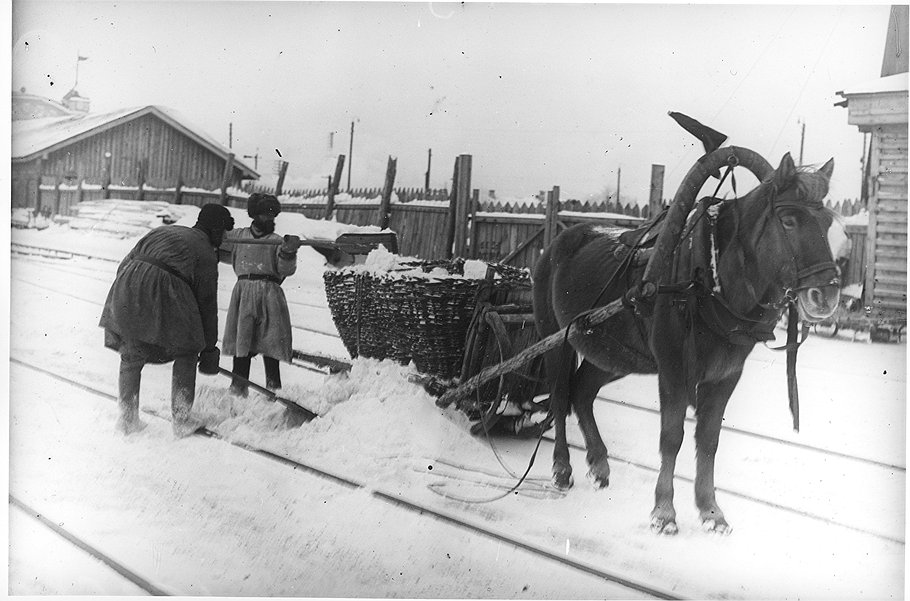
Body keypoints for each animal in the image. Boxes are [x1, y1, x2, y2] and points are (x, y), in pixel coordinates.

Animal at [536, 150, 840, 536]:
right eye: (788, 220)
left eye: (827, 222)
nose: (826, 296)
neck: (706, 282)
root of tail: (556, 243)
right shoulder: (673, 369)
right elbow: (672, 437)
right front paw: (664, 511)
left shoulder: (726, 376)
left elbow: (708, 440)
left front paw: (711, 511)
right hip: (556, 338)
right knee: (561, 397)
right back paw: (562, 468)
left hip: (615, 355)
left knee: (582, 392)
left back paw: (600, 463)